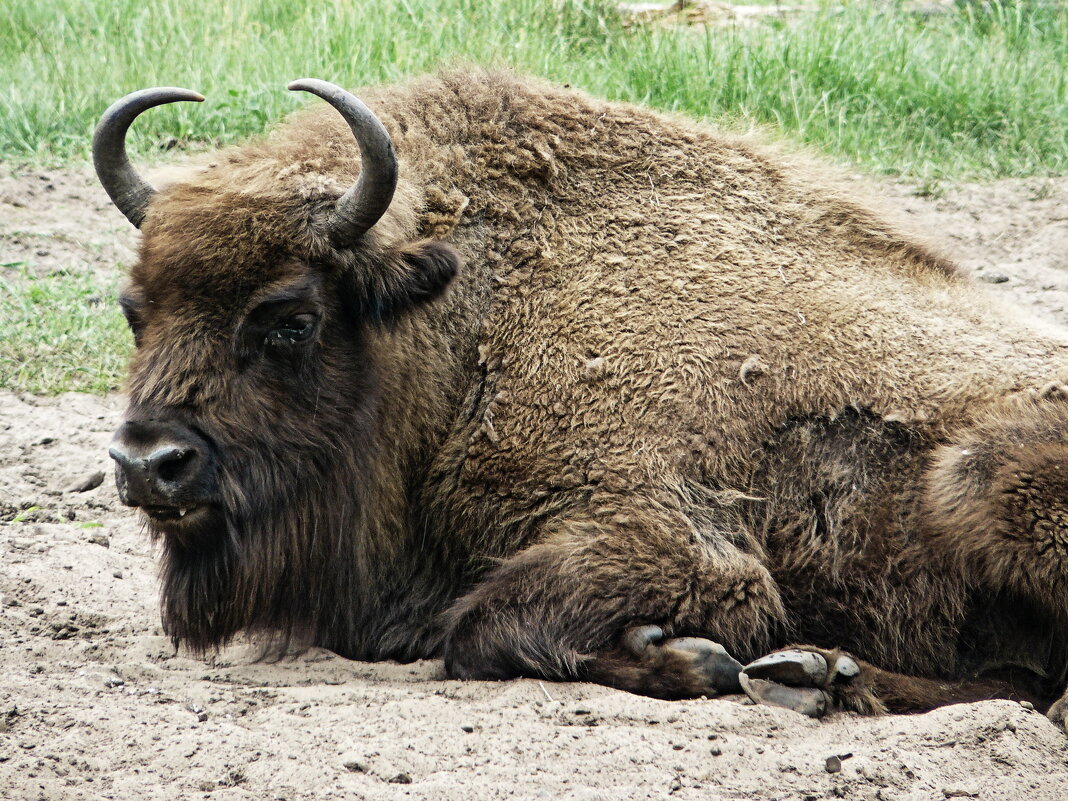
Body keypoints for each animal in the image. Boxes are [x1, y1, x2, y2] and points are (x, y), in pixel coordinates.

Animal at [91, 73, 1068, 726]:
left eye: (290, 319)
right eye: (136, 310)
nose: (149, 463)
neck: (471, 322)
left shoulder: (674, 538)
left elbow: (478, 626)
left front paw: (689, 656)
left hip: (979, 475)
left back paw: (808, 675)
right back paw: (821, 674)